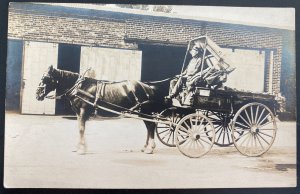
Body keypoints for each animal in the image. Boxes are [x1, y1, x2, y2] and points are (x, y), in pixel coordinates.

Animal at [35, 66, 171, 155]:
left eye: (46, 78)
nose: (37, 94)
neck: (81, 87)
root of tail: (149, 87)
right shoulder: (78, 113)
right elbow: (80, 129)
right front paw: (79, 147)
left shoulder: (83, 111)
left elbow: (81, 129)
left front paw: (82, 150)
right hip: (142, 112)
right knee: (149, 127)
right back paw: (145, 147)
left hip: (145, 111)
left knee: (151, 126)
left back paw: (150, 148)